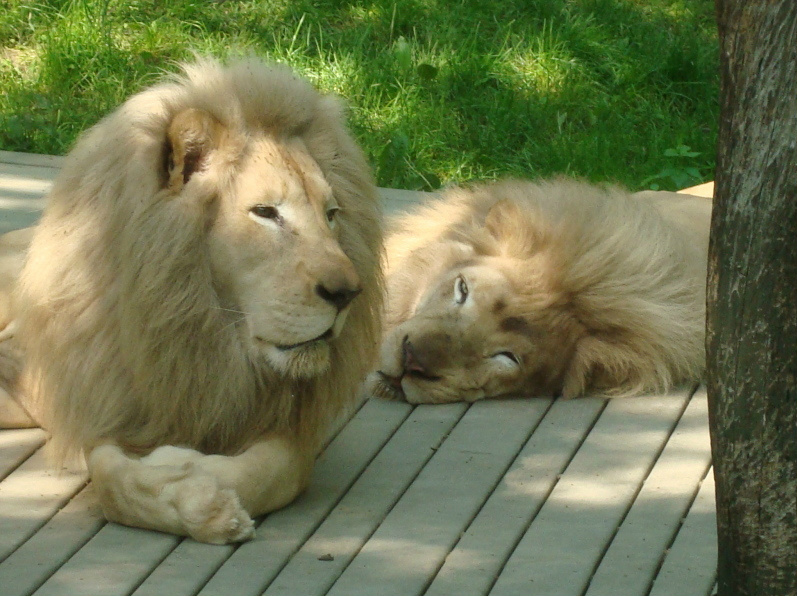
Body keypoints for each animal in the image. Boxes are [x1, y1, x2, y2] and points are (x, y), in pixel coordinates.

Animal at [0, 57, 383, 543]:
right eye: (266, 213)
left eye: (331, 215)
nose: (347, 293)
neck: (208, 332)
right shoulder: (110, 405)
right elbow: (112, 484)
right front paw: (191, 492)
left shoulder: (284, 425)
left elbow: (276, 473)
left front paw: (192, 478)